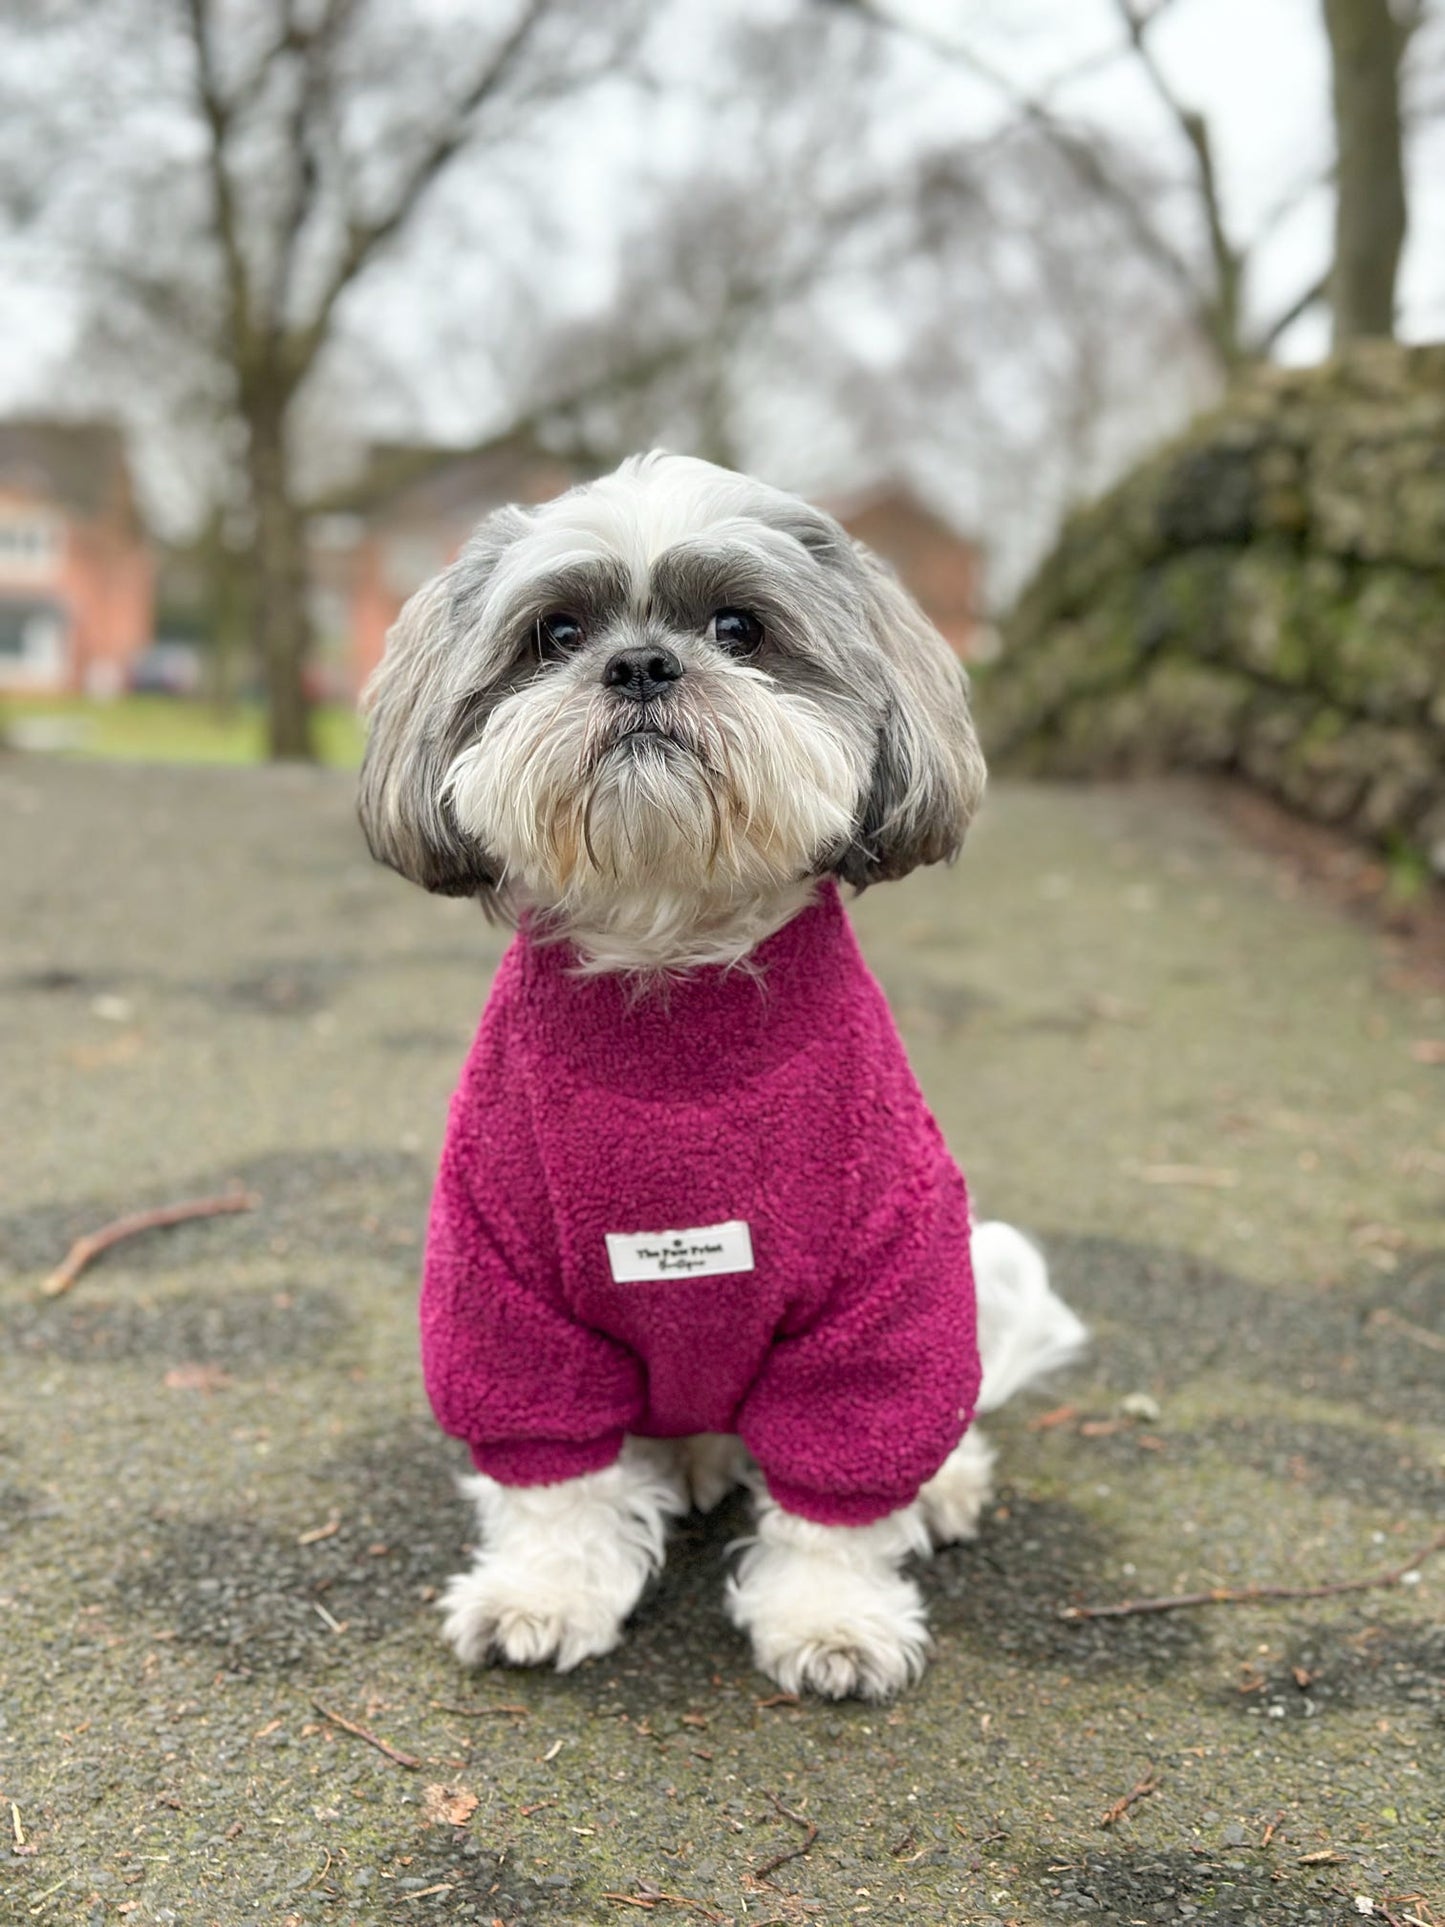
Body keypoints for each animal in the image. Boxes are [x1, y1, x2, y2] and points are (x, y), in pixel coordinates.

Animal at [362, 454, 1086, 1703]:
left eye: (737, 628)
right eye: (557, 633)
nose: (642, 663)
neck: (672, 972)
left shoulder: (883, 1288)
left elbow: (840, 1488)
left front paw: (832, 1615)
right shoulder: (503, 1291)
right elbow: (551, 1475)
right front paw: (543, 1591)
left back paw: (935, 1485)